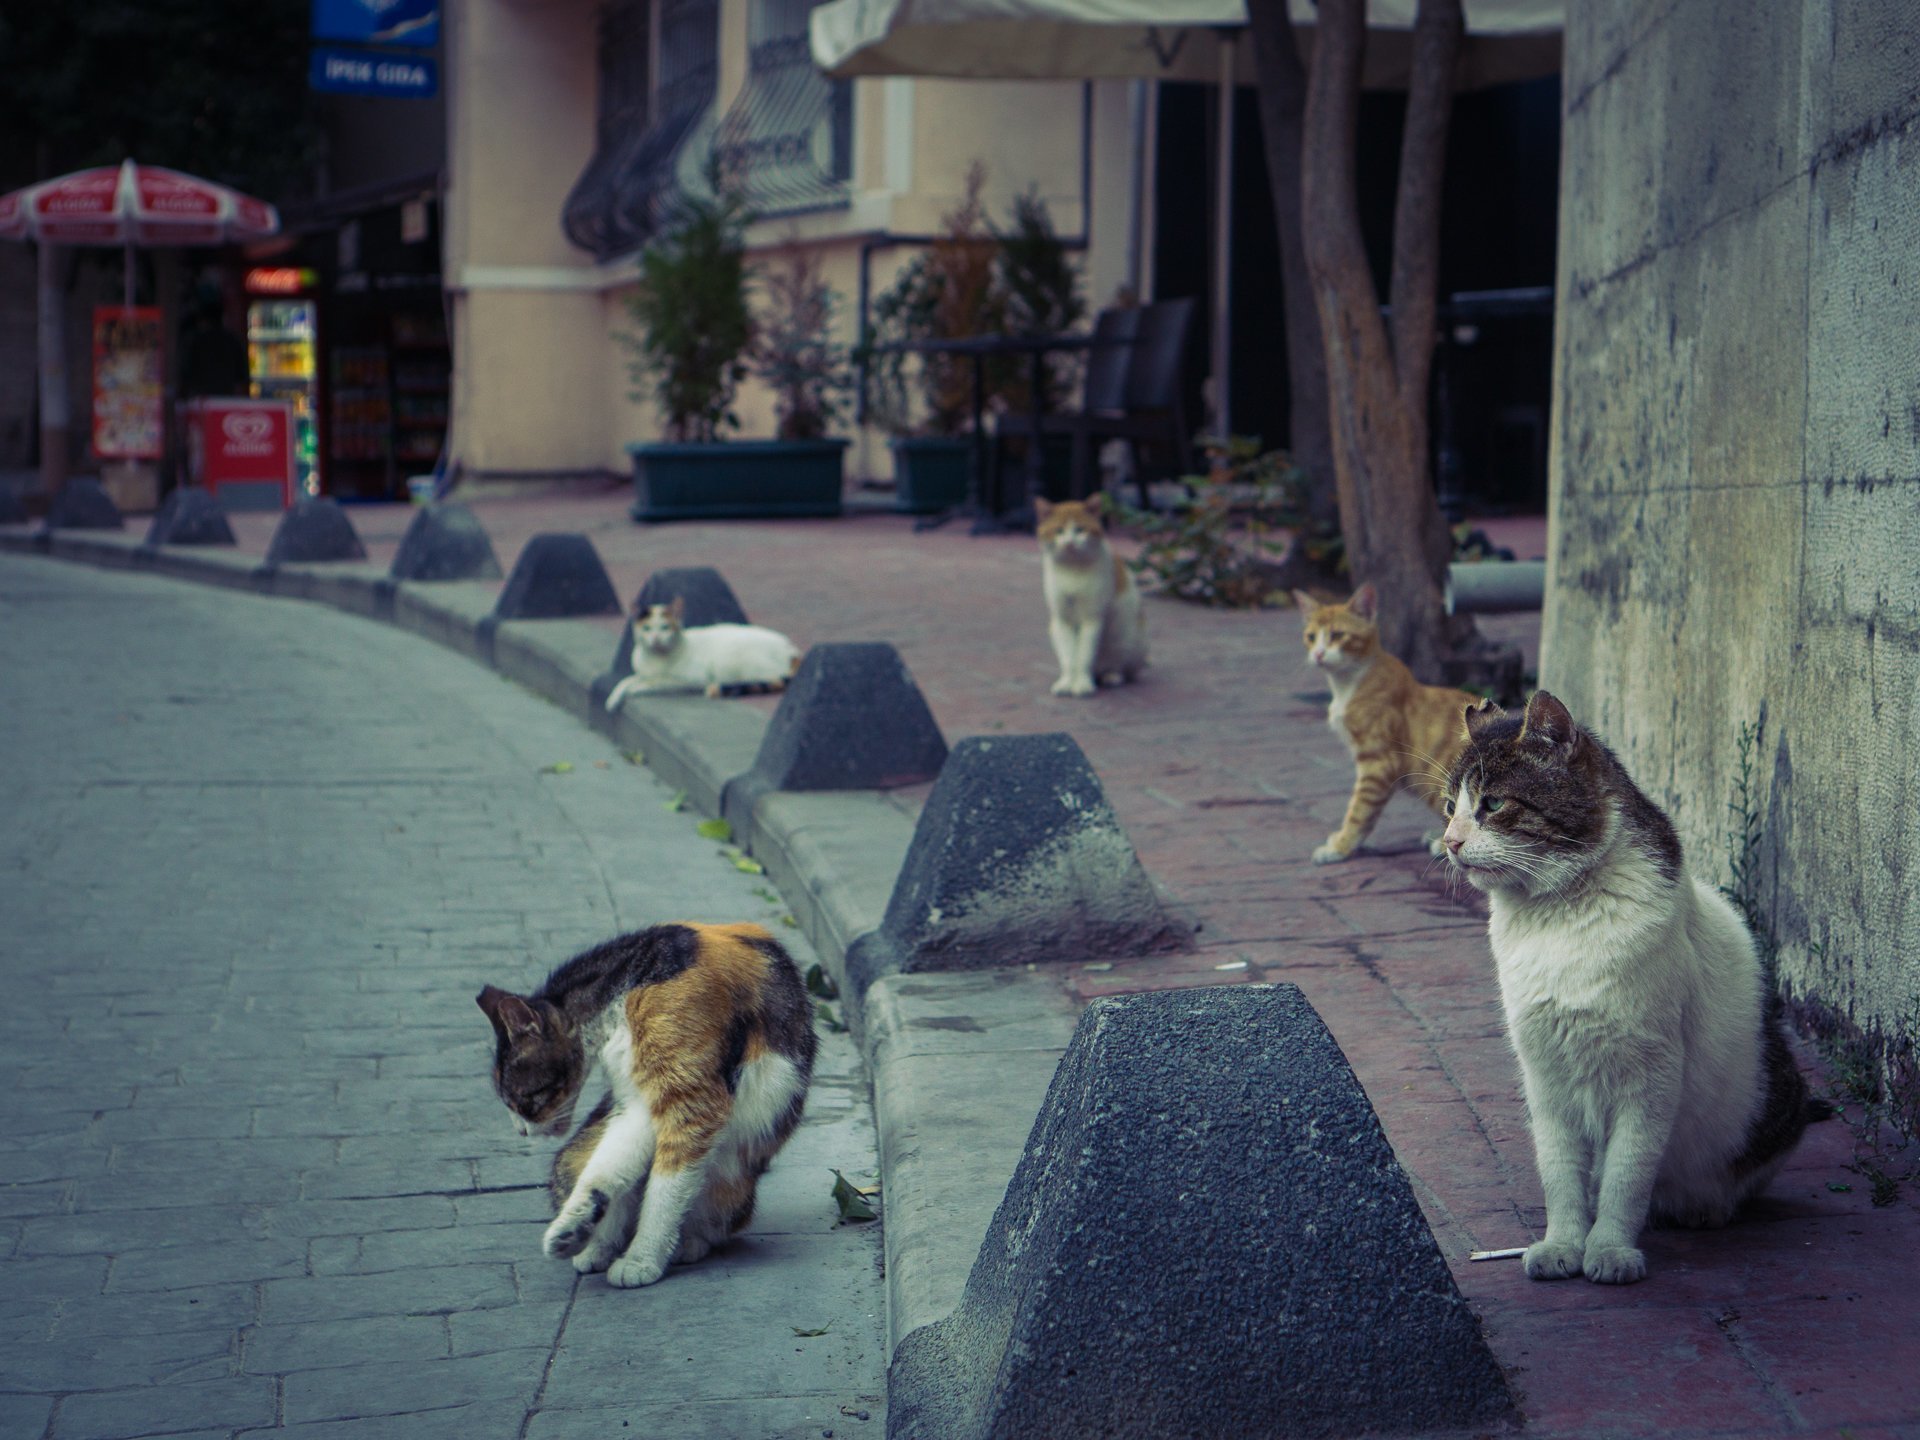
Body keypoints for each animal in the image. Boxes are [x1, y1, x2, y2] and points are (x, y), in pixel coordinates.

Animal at [480, 917, 817, 1290]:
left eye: (521, 1099)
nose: (521, 1132)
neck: (627, 984)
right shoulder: (638, 1103)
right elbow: (607, 1171)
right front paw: (575, 1229)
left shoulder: (692, 1101)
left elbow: (665, 1189)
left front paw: (642, 1260)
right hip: (575, 1155)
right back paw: (594, 1246)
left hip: (733, 1182)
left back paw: (685, 1244)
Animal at [606, 599, 802, 710]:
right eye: (646, 628)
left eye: (665, 627)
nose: (655, 638)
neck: (654, 659)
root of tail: (790, 648)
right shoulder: (642, 673)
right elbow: (625, 681)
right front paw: (613, 698)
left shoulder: (689, 680)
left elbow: (654, 682)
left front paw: (635, 689)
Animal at [1044, 495, 1144, 698]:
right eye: (1058, 531)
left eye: (1080, 530)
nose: (1069, 543)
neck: (1072, 571)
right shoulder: (1062, 619)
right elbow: (1069, 656)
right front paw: (1067, 683)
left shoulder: (1092, 618)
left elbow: (1084, 655)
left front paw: (1082, 684)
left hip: (1126, 638)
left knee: (1121, 667)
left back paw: (1112, 676)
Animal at [1297, 587, 1474, 867]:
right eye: (1311, 637)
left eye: (1337, 635)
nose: (1318, 654)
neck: (1347, 683)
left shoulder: (1378, 764)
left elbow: (1359, 810)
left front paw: (1341, 846)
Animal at [1443, 695, 1827, 1290]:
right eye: (1448, 807)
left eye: (1494, 803)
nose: (1450, 842)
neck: (1556, 919)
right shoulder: (1545, 1074)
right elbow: (1560, 1174)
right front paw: (1563, 1245)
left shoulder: (1652, 1074)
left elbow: (1627, 1175)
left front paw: (1609, 1251)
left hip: (1773, 1103)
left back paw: (1704, 1208)